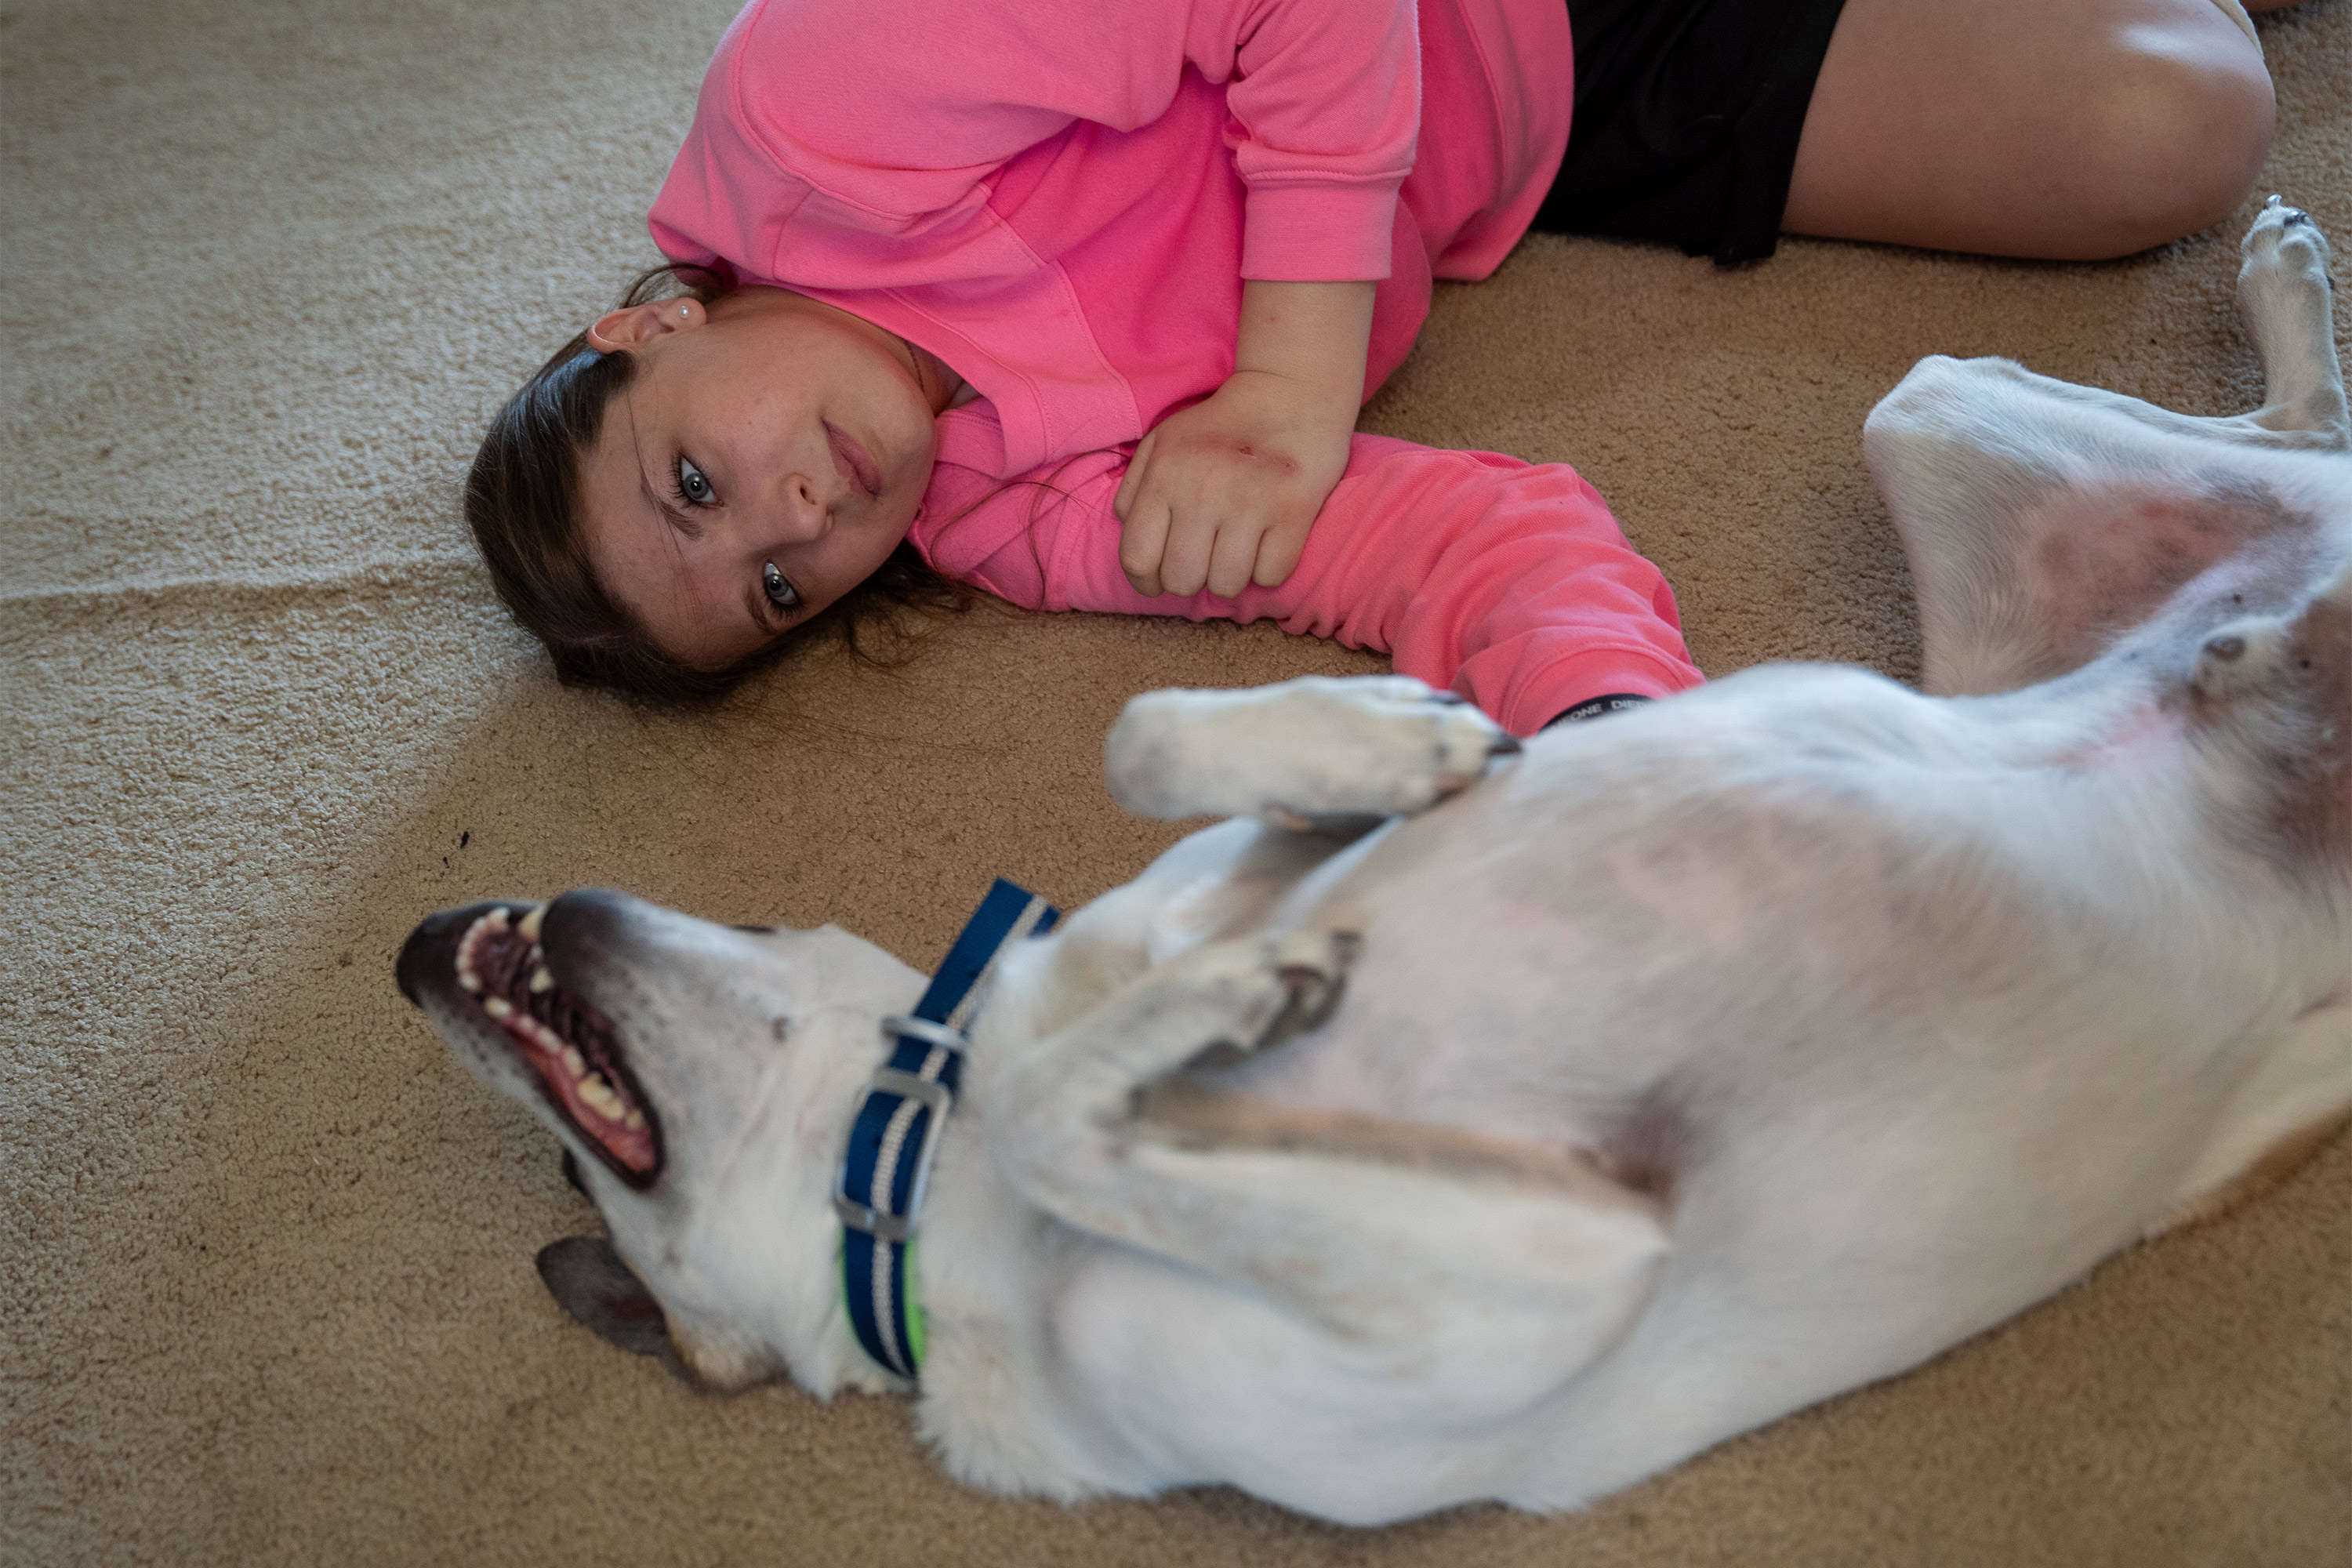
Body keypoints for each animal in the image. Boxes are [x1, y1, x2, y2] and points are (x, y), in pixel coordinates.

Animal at [395, 201, 2343, 1523]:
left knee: (2289, 443)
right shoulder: (1525, 1283)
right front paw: (1248, 985)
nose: (422, 947)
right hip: (1948, 421)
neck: (926, 1141)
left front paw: (1406, 742)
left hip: (1942, 420)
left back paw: (2285, 328)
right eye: (579, 1179)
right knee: (2273, 448)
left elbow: (1154, 731)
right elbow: (1065, 1100)